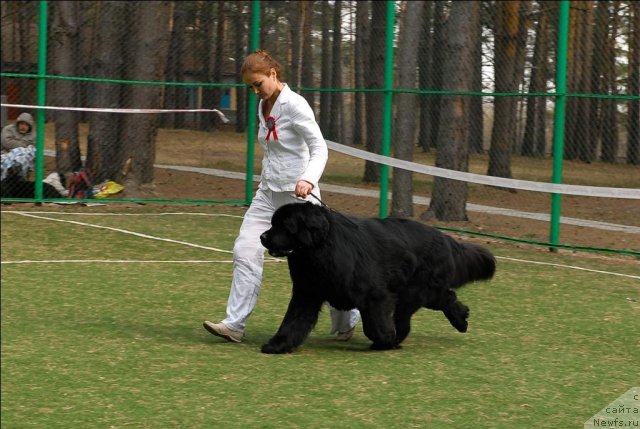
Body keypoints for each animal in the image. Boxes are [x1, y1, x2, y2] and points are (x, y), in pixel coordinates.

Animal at [258, 202, 496, 352]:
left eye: (285, 226)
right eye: (272, 223)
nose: (262, 236)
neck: (320, 248)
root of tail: (445, 238)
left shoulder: (374, 295)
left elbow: (374, 326)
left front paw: (384, 341)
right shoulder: (307, 293)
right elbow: (292, 321)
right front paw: (278, 345)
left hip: (415, 292)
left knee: (430, 305)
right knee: (446, 297)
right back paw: (460, 318)